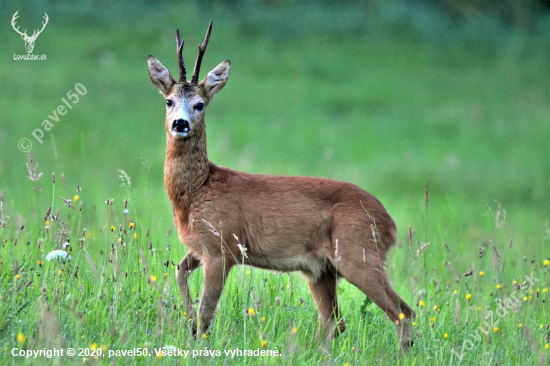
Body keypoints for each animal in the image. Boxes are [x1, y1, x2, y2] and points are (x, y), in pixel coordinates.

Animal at [149, 20, 416, 352]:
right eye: (169, 101)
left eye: (200, 104)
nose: (180, 124)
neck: (198, 189)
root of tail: (389, 223)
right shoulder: (199, 246)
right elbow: (179, 273)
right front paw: (186, 322)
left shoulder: (222, 246)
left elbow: (206, 311)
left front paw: (197, 342)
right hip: (321, 270)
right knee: (335, 322)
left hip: (359, 253)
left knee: (402, 312)